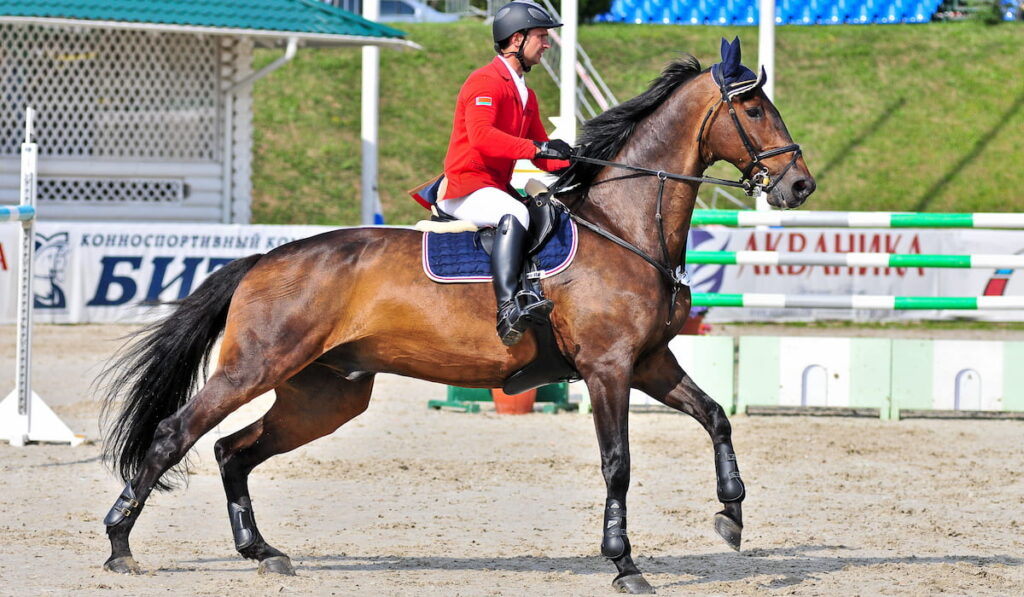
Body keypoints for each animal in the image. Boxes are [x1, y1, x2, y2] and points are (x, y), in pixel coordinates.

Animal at [97, 39, 815, 593]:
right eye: (754, 107)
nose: (800, 185)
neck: (622, 227)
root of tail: (264, 258)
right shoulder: (608, 368)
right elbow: (618, 463)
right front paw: (624, 563)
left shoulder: (650, 362)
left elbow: (717, 416)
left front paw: (731, 517)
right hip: (257, 367)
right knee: (176, 434)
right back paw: (120, 544)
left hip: (324, 395)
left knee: (231, 451)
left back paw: (261, 551)